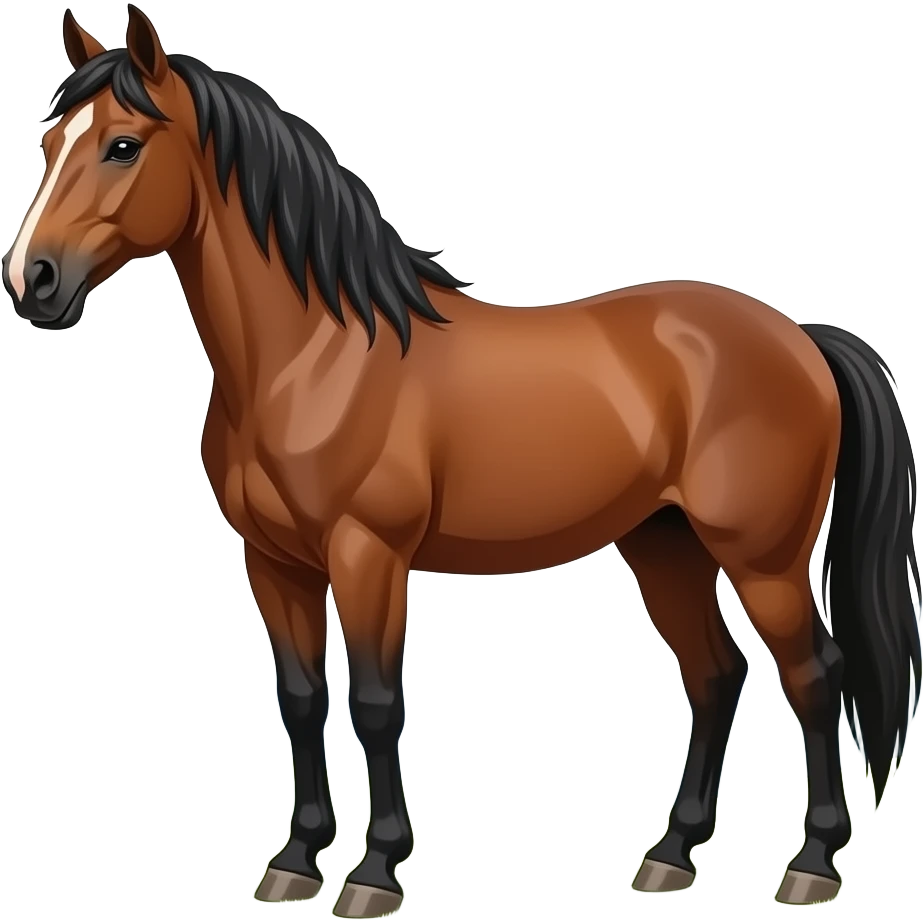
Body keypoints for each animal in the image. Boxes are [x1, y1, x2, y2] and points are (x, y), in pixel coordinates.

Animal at [4, 5, 920, 914]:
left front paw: (374, 872)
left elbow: (376, 703)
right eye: (49, 146)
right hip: (665, 543)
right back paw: (669, 856)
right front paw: (295, 862)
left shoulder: (368, 555)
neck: (314, 357)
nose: (31, 280)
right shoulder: (273, 563)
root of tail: (800, 337)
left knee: (813, 675)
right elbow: (300, 700)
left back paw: (810, 864)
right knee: (714, 674)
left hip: (761, 557)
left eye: (123, 145)